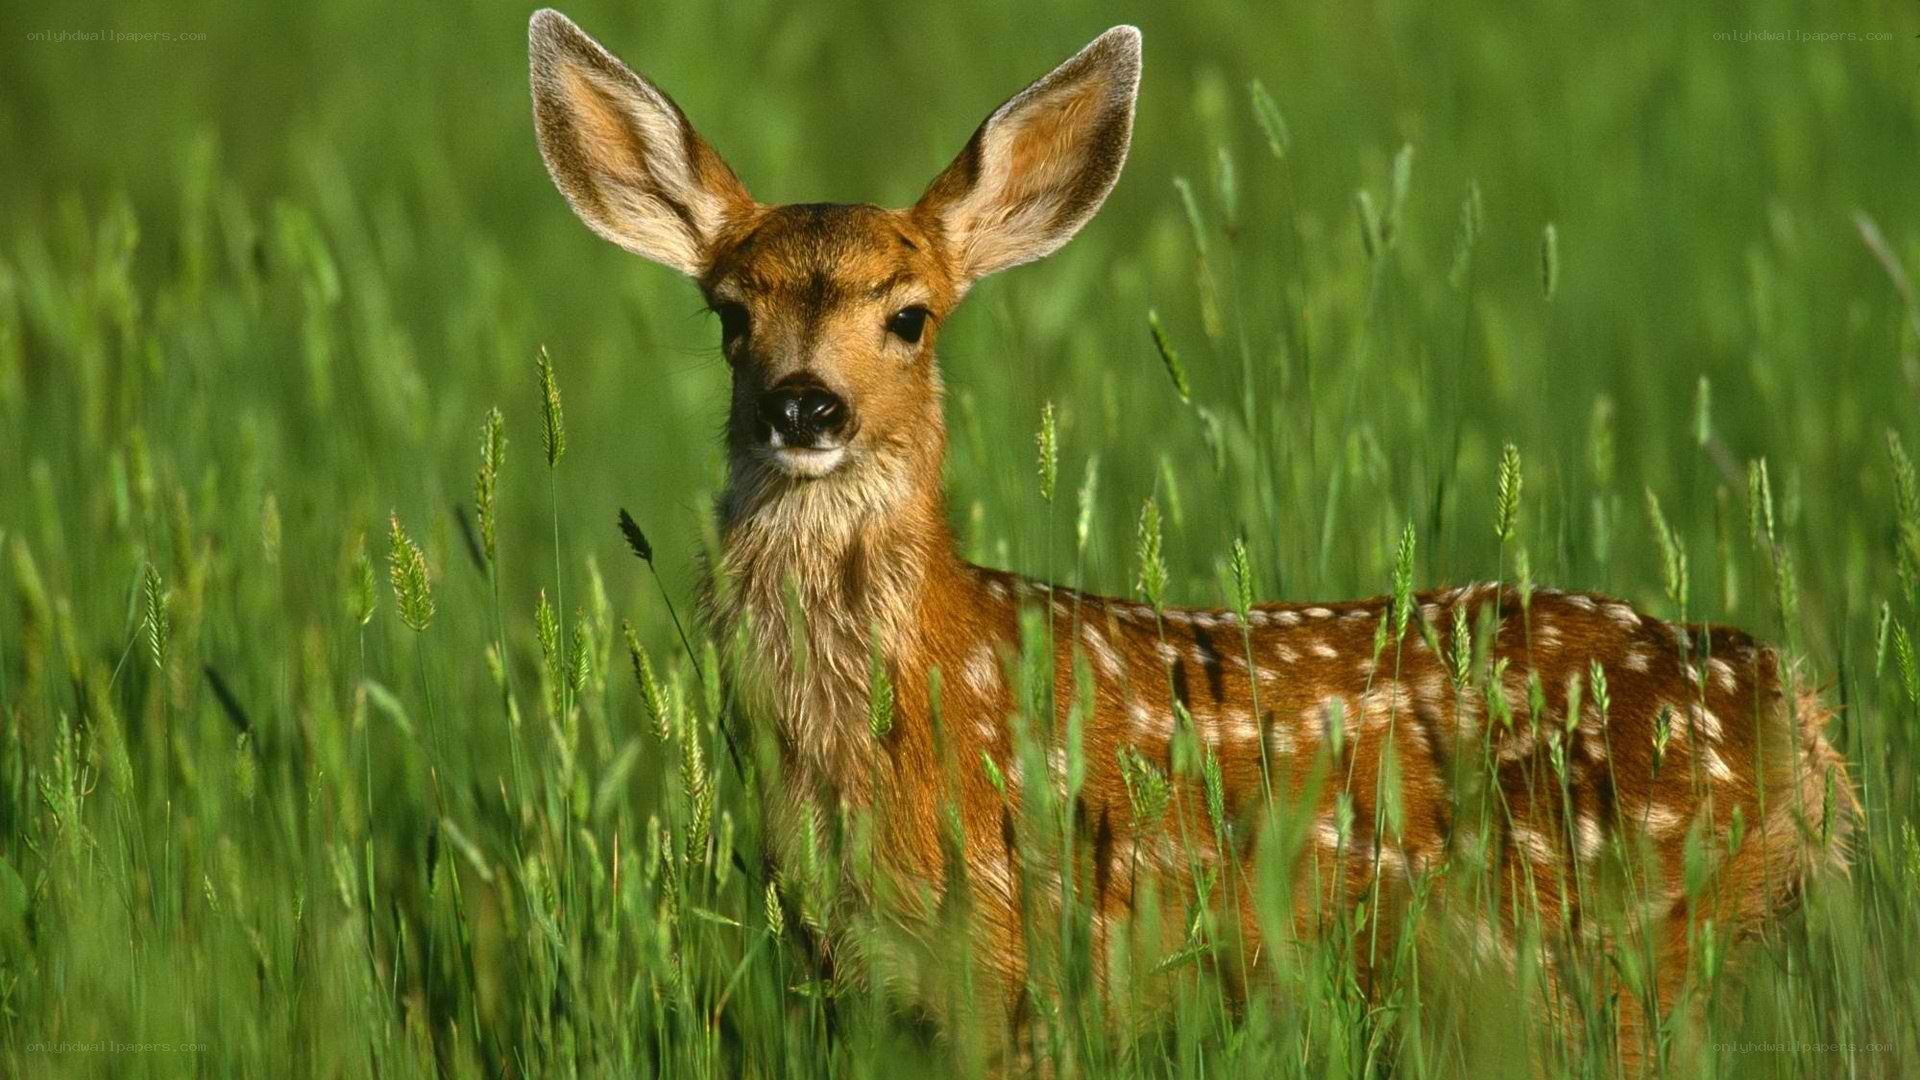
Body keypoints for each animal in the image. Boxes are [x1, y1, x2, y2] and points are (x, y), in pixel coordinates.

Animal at [528, 9, 1853, 1067]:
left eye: (908, 317)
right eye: (729, 316)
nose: (806, 406)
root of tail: (1788, 704)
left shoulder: (1019, 958)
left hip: (1614, 939)